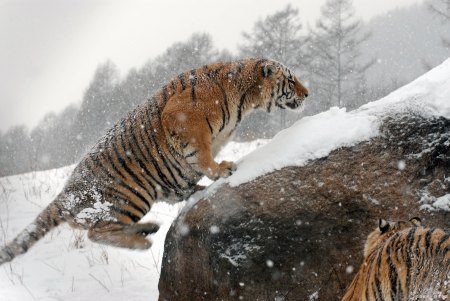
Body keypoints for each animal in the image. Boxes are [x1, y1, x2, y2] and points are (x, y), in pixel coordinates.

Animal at [0, 57, 310, 264]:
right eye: (291, 80)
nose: (308, 93)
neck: (245, 98)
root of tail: (67, 191)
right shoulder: (185, 119)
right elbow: (202, 155)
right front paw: (222, 169)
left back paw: (151, 226)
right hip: (131, 195)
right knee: (97, 232)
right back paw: (142, 241)